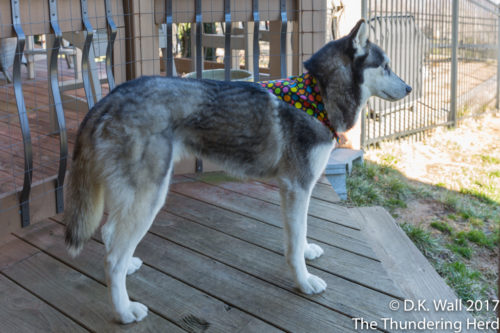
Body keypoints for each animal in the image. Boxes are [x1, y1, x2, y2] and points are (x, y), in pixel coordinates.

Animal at [64, 19, 412, 322]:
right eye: (385, 66)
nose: (409, 88)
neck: (317, 95)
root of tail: (108, 98)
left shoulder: (294, 190)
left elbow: (298, 236)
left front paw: (307, 251)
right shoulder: (297, 187)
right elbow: (293, 246)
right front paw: (304, 281)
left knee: (110, 235)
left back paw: (129, 268)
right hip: (150, 196)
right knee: (112, 258)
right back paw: (124, 311)